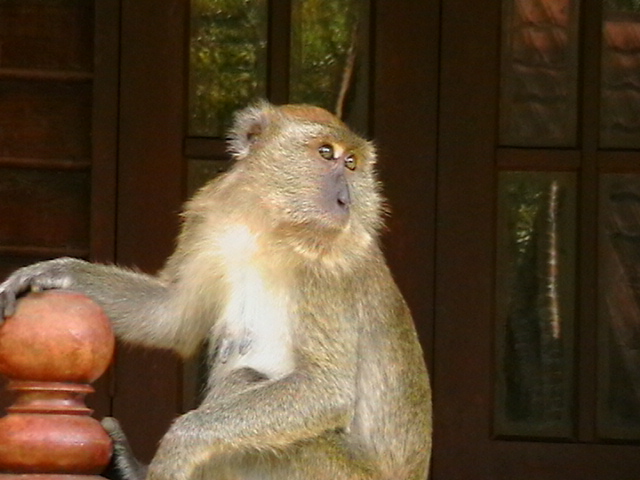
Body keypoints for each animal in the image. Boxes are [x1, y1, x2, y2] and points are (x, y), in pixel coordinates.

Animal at [0, 102, 432, 480]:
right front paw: (56, 272)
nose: (346, 199)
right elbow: (171, 316)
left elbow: (326, 388)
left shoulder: (328, 268)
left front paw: (180, 443)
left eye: (352, 163)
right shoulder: (209, 219)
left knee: (244, 382)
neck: (269, 227)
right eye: (327, 154)